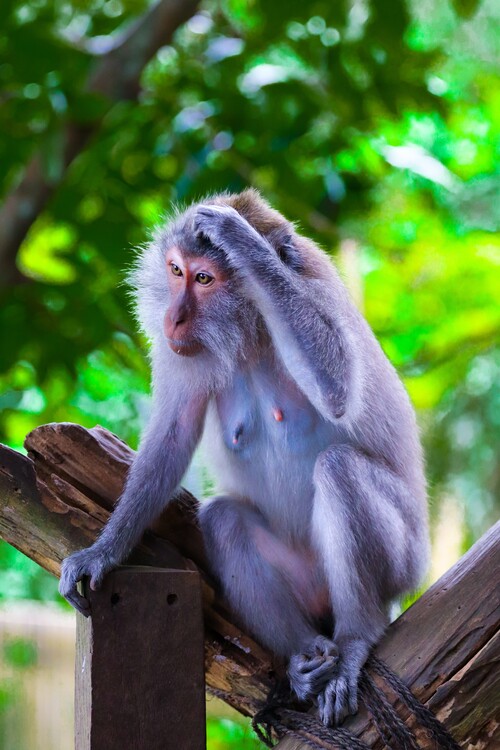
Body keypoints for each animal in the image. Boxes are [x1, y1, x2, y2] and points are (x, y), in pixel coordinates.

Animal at [59, 189, 429, 726]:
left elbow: (338, 387)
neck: (254, 328)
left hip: (407, 562)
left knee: (338, 468)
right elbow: (172, 437)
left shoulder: (319, 291)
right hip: (304, 583)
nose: (173, 317)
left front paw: (241, 239)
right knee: (224, 517)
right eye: (175, 270)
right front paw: (103, 552)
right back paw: (302, 658)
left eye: (204, 278)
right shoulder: (183, 351)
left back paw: (356, 640)